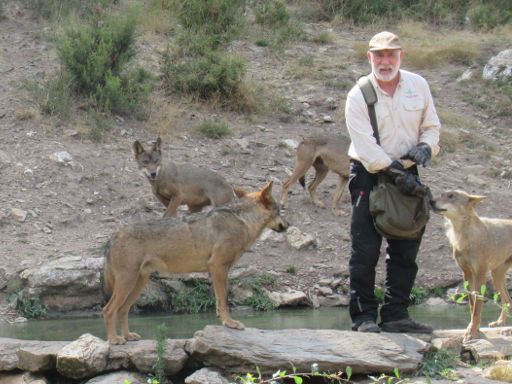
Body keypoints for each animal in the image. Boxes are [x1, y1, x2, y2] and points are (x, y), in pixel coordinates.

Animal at [102, 181, 290, 344]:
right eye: (279, 211)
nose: (288, 225)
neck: (243, 220)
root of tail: (113, 236)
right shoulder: (218, 267)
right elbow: (224, 300)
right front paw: (230, 323)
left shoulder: (220, 271)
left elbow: (219, 301)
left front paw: (224, 322)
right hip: (127, 282)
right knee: (108, 310)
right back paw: (114, 339)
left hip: (138, 284)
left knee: (122, 310)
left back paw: (127, 336)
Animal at [432, 190, 512, 340]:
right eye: (441, 194)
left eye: (451, 196)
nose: (430, 201)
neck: (465, 236)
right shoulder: (467, 274)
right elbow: (471, 304)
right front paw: (476, 330)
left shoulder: (480, 274)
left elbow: (477, 308)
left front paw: (472, 332)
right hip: (496, 277)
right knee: (508, 300)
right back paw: (500, 322)